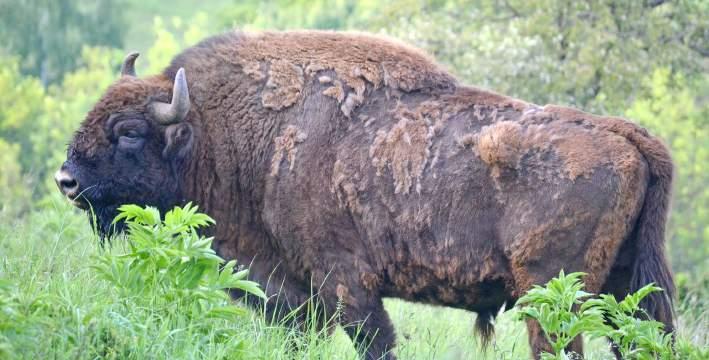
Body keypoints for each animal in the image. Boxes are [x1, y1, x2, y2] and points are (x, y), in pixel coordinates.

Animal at [56, 30, 676, 358]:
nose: (66, 180)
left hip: (552, 294)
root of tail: (625, 134)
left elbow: (375, 340)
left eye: (129, 132)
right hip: (626, 289)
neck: (224, 133)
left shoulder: (345, 283)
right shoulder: (294, 295)